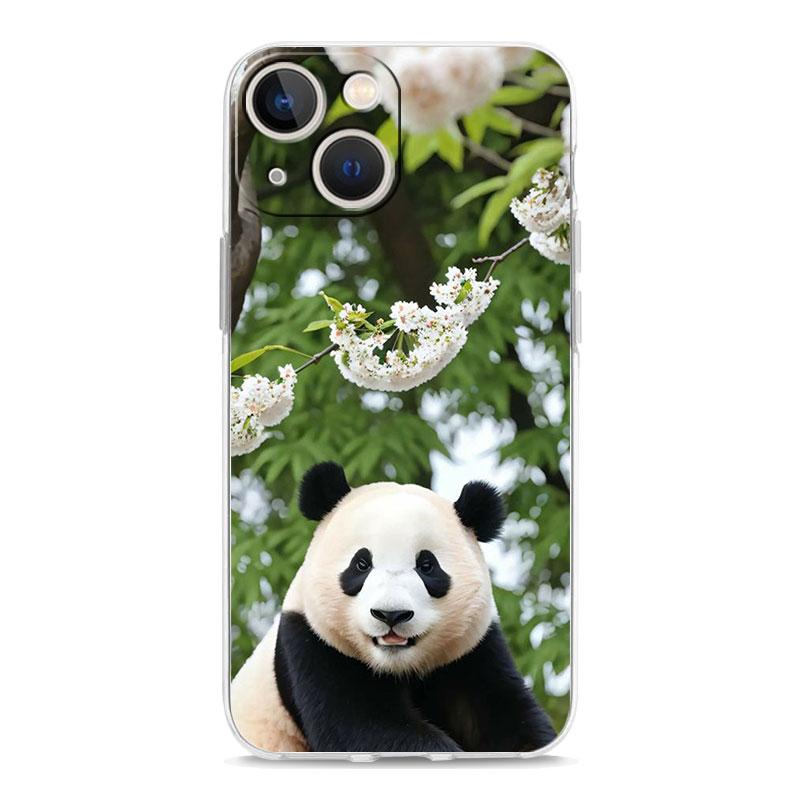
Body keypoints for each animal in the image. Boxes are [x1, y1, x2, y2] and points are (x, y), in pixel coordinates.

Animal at [230, 461, 556, 753]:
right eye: (361, 564)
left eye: (427, 566)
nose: (391, 615)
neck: (398, 668)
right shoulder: (314, 645)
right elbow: (365, 730)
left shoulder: (471, 653)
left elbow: (508, 720)